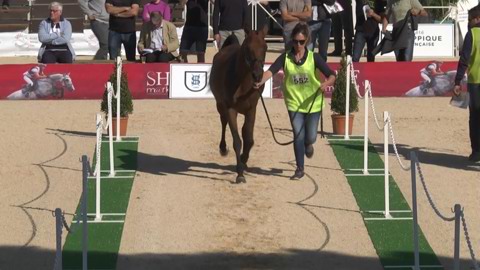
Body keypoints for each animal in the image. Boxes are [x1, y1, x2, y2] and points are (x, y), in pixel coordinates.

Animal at [210, 27, 270, 184]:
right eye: (247, 48)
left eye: (265, 47)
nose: (257, 75)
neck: (243, 83)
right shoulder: (230, 109)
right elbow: (237, 141)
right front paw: (240, 174)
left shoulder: (251, 110)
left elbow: (248, 139)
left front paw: (243, 161)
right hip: (220, 105)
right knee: (223, 122)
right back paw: (223, 148)